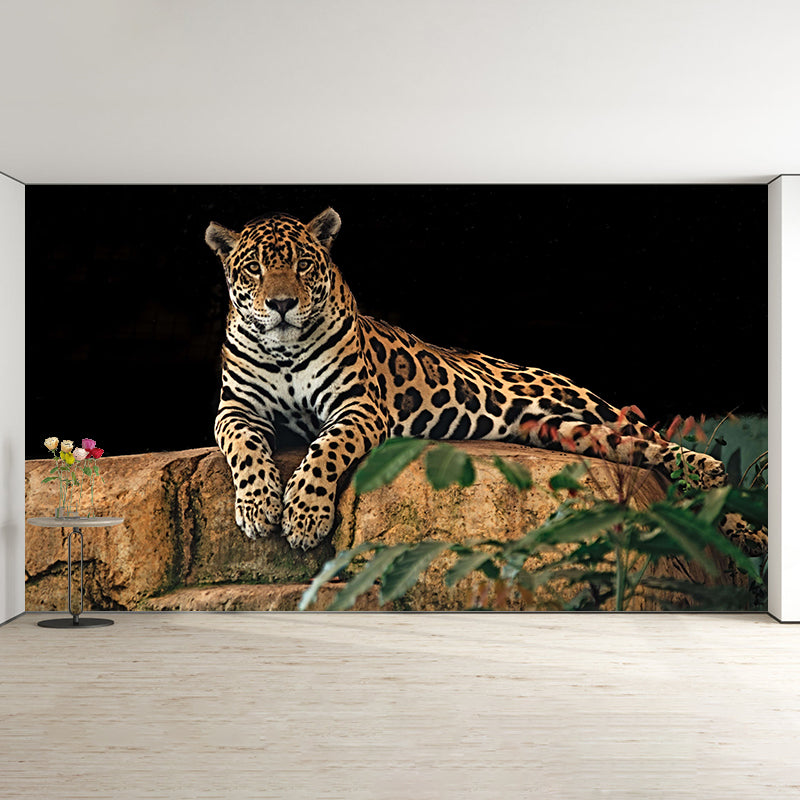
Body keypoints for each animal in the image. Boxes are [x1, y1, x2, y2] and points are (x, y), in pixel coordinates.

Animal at [206, 208, 728, 551]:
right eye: (254, 269)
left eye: (302, 265)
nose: (281, 304)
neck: (284, 350)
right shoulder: (236, 408)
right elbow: (243, 446)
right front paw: (258, 507)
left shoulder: (357, 406)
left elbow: (325, 451)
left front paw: (304, 516)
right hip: (566, 431)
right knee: (638, 449)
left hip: (581, 400)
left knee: (653, 436)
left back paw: (720, 488)